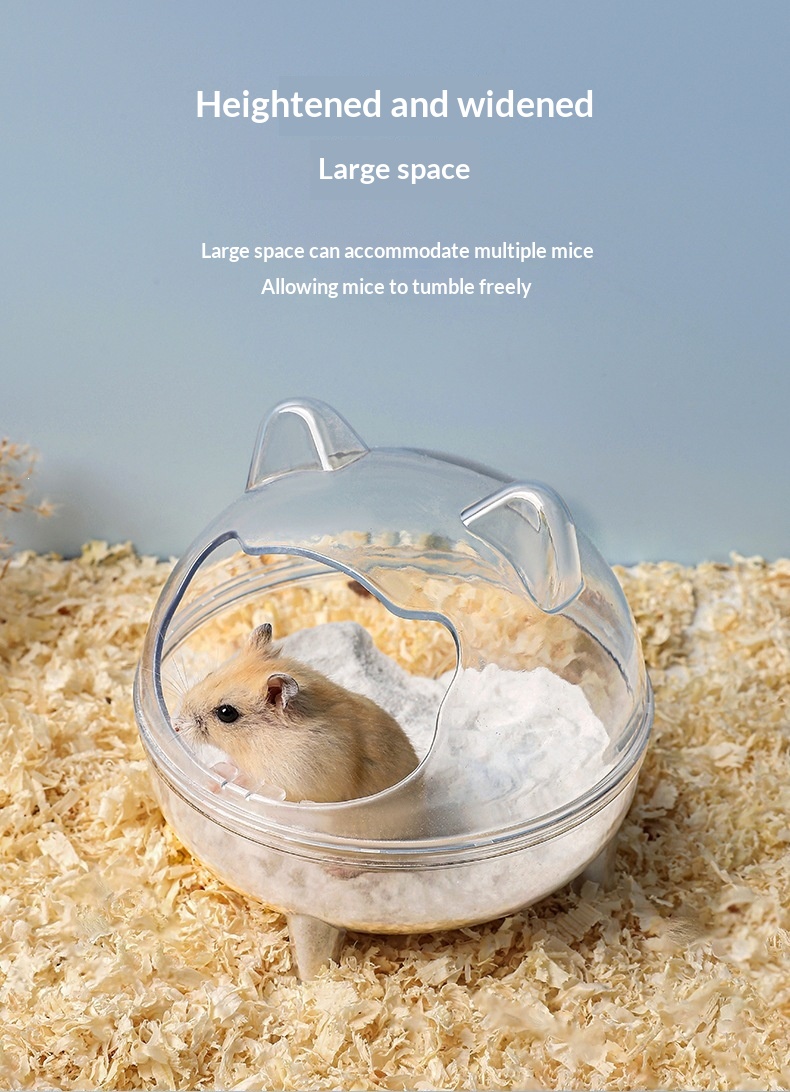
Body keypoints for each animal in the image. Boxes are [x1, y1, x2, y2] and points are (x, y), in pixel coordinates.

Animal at [173, 623, 419, 803]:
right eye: (210, 674)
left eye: (226, 713)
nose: (176, 726)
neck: (259, 738)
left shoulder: (293, 782)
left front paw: (216, 781)